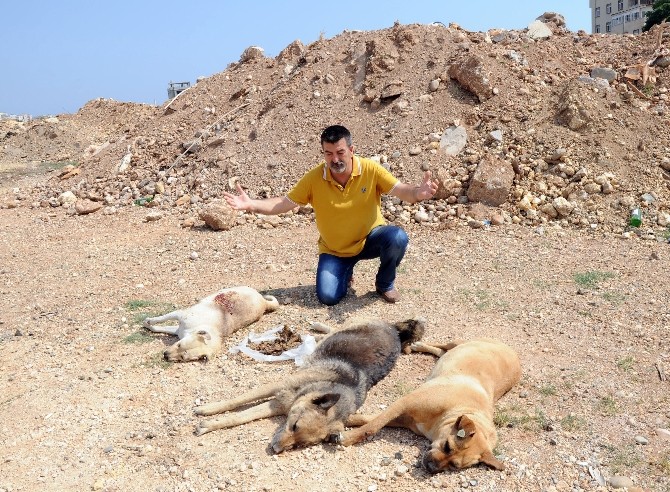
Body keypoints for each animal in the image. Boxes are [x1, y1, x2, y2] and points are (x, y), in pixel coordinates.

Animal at [143, 284, 280, 362]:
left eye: (182, 358)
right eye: (179, 345)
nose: (165, 355)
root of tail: (264, 302)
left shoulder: (179, 330)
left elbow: (159, 327)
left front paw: (148, 325)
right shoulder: (180, 315)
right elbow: (160, 319)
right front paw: (147, 321)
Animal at [193, 316, 426, 454]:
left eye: (300, 445)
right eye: (294, 426)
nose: (275, 449)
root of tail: (394, 332)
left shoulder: (276, 405)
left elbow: (238, 417)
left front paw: (209, 425)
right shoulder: (276, 388)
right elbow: (235, 402)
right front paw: (208, 409)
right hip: (351, 325)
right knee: (333, 328)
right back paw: (317, 329)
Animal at [338, 338, 524, 472]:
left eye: (454, 466)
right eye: (448, 446)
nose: (431, 468)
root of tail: (512, 351)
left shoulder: (405, 419)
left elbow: (370, 420)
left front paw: (348, 421)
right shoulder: (404, 402)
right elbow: (373, 425)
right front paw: (347, 436)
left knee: (443, 351)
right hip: (463, 342)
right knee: (445, 345)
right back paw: (417, 345)